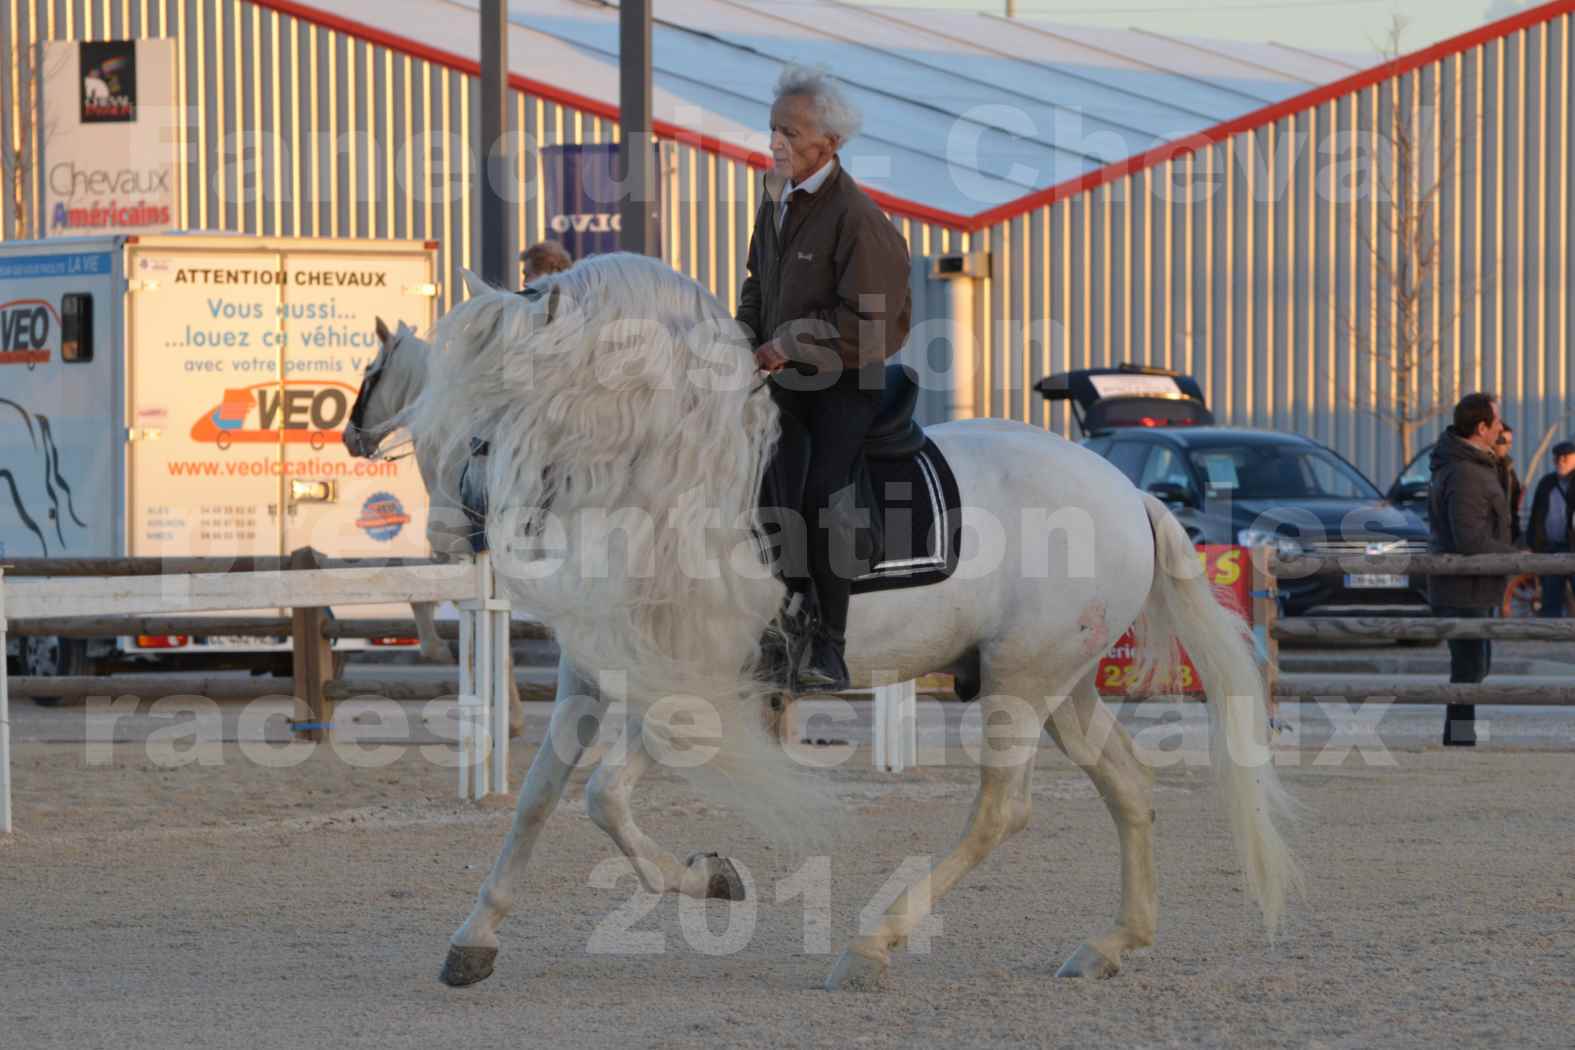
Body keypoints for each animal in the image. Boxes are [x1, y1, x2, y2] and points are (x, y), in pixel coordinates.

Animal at [409, 255, 1304, 994]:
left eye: (491, 420)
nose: (452, 535)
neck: (669, 474)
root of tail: (1127, 492)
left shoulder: (701, 686)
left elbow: (599, 795)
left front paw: (711, 877)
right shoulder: (596, 676)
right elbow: (538, 798)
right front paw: (474, 939)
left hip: (1021, 684)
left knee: (1001, 812)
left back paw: (873, 944)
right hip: (1062, 684)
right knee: (1126, 786)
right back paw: (1111, 945)